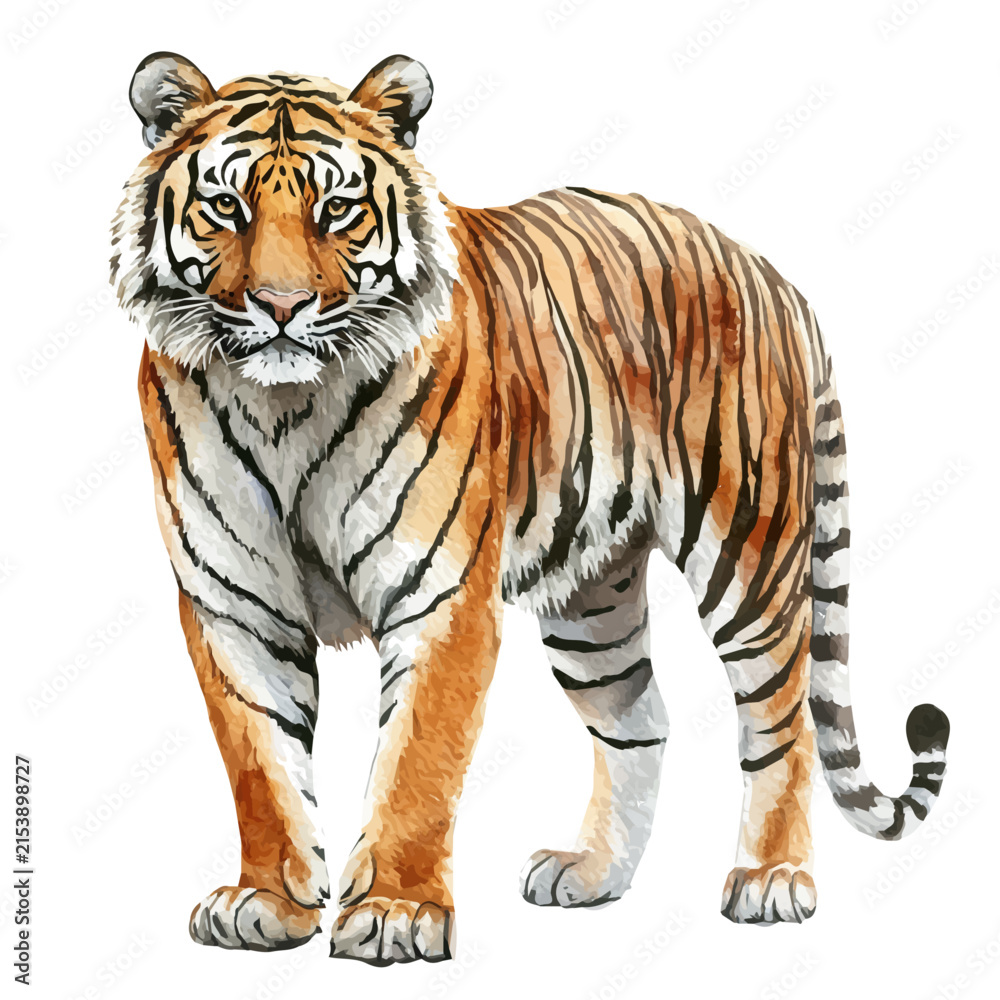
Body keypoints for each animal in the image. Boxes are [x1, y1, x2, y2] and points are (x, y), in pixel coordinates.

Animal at [111, 51, 951, 966]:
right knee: (640, 720)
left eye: (337, 210)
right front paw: (267, 902)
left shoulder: (441, 594)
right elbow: (260, 765)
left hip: (750, 555)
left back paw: (771, 879)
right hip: (593, 603)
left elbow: (416, 761)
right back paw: (592, 873)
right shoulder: (234, 601)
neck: (283, 408)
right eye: (226, 207)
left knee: (782, 721)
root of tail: (774, 276)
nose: (281, 306)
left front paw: (396, 911)